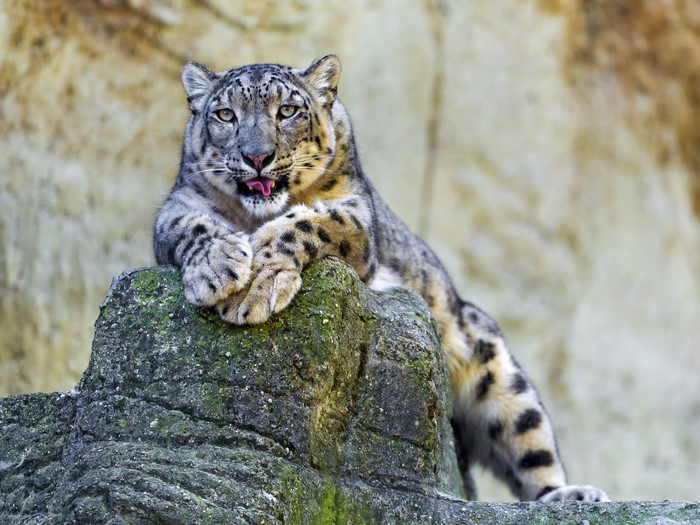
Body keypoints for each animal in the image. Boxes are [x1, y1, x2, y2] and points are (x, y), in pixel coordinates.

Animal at [153, 54, 610, 503]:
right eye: (225, 115)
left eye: (287, 111)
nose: (257, 156)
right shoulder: (176, 206)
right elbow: (190, 226)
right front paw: (220, 269)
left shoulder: (354, 215)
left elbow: (308, 221)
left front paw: (257, 285)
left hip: (496, 368)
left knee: (530, 441)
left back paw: (573, 495)